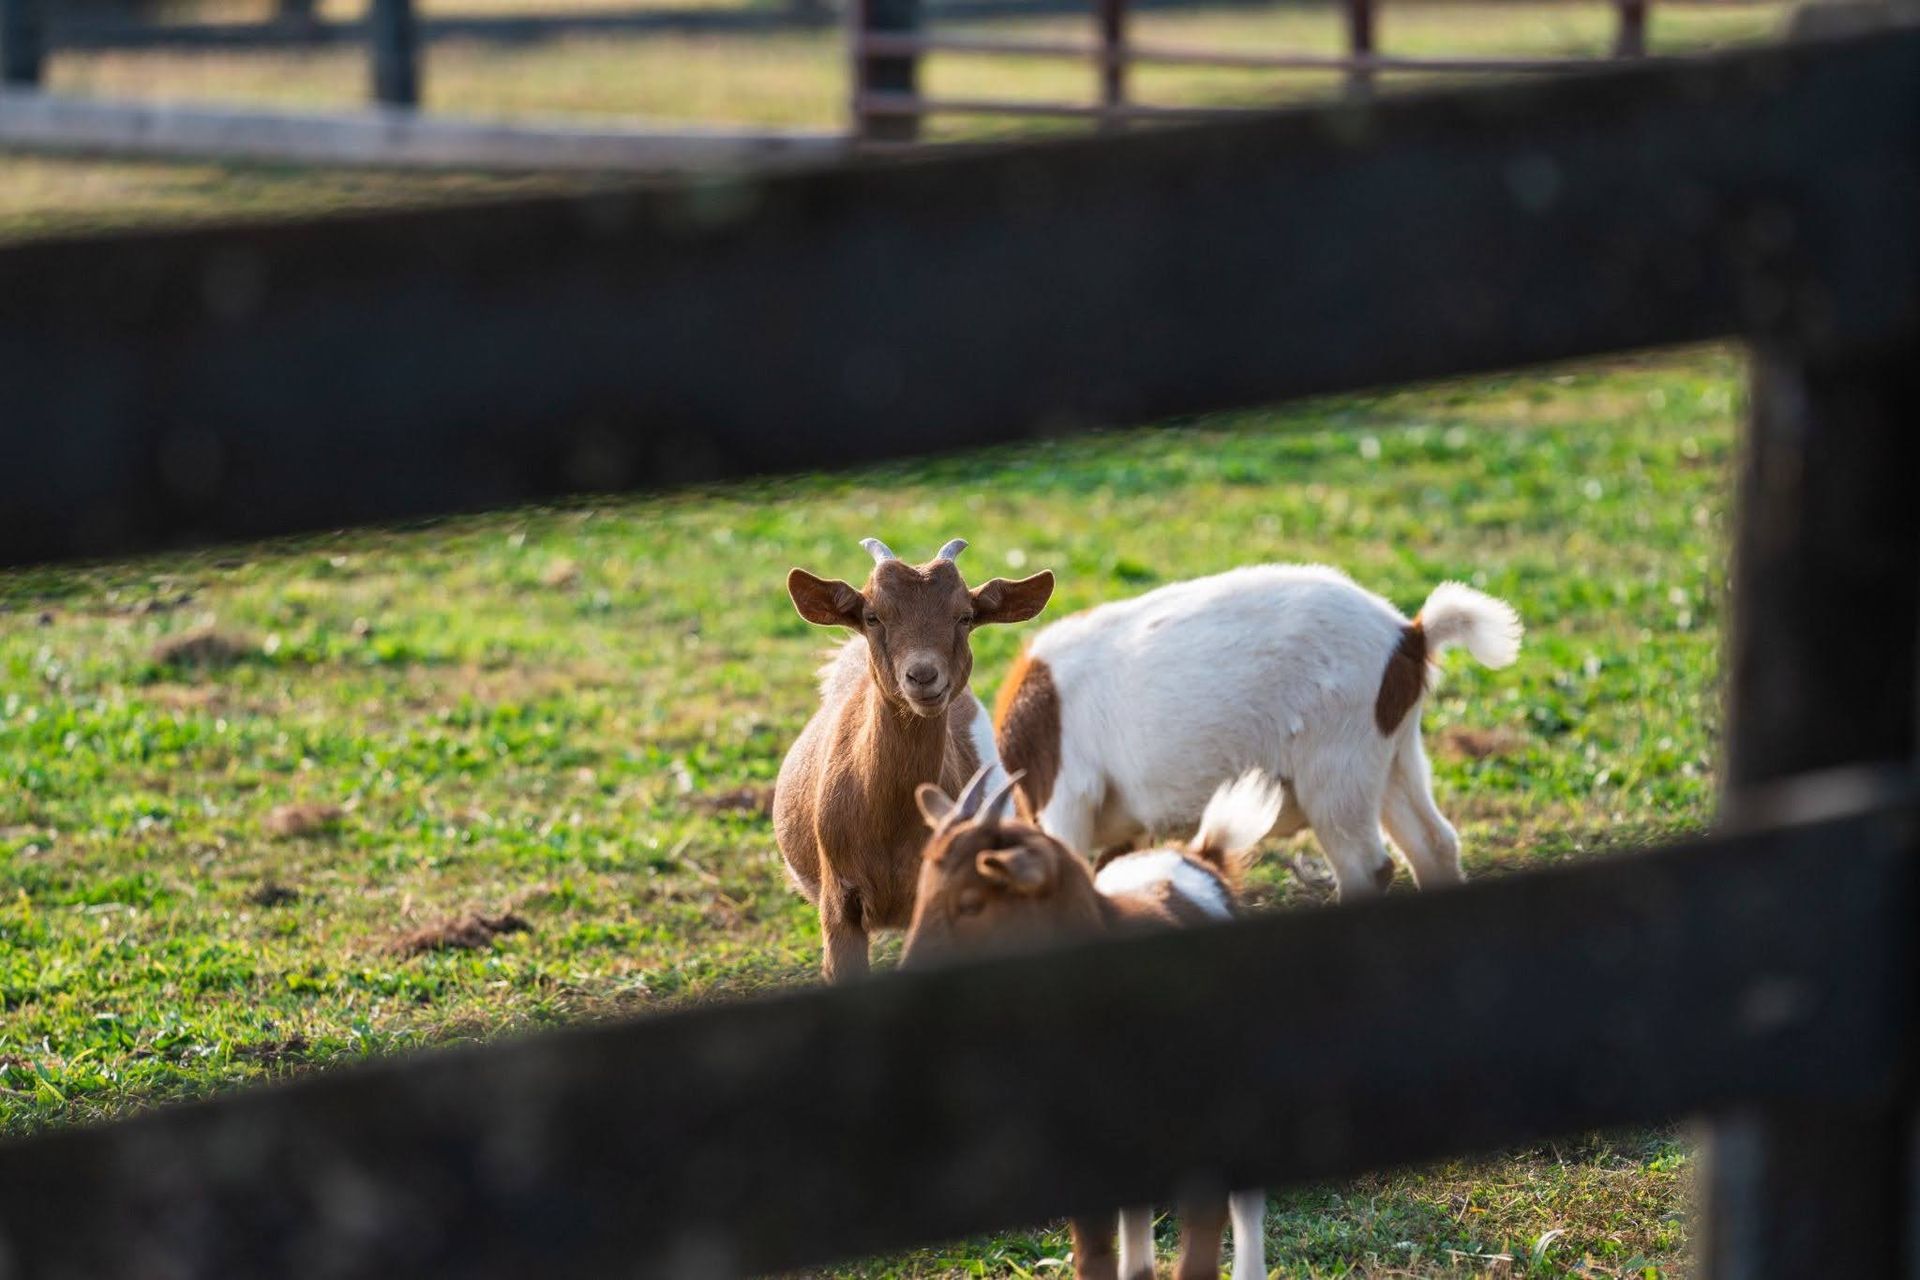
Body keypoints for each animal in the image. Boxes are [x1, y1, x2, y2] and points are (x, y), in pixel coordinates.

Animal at [996, 567, 1521, 899]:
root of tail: (1408, 636)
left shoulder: (1066, 794)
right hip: (1393, 749)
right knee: (1433, 843)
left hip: (1337, 759)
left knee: (1365, 863)